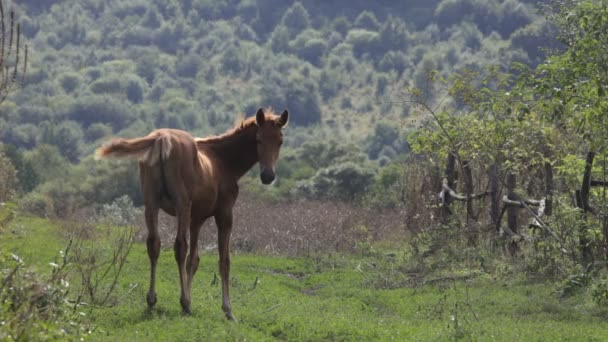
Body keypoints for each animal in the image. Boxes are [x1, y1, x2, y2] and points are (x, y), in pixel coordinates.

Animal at [97, 108, 290, 320]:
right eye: (259, 139)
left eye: (280, 141)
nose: (268, 176)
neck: (222, 160)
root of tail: (161, 138)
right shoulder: (224, 214)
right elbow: (224, 260)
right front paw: (227, 310)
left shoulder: (196, 219)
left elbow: (193, 260)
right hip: (181, 203)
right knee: (180, 246)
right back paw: (184, 302)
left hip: (151, 204)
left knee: (154, 244)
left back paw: (152, 299)